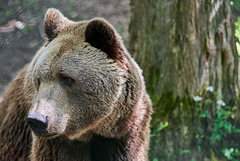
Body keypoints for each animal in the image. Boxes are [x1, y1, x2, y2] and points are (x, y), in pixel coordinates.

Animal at [0, 8, 151, 161]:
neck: (95, 128)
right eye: (38, 78)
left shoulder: (126, 130)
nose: (37, 120)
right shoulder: (57, 141)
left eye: (67, 79)